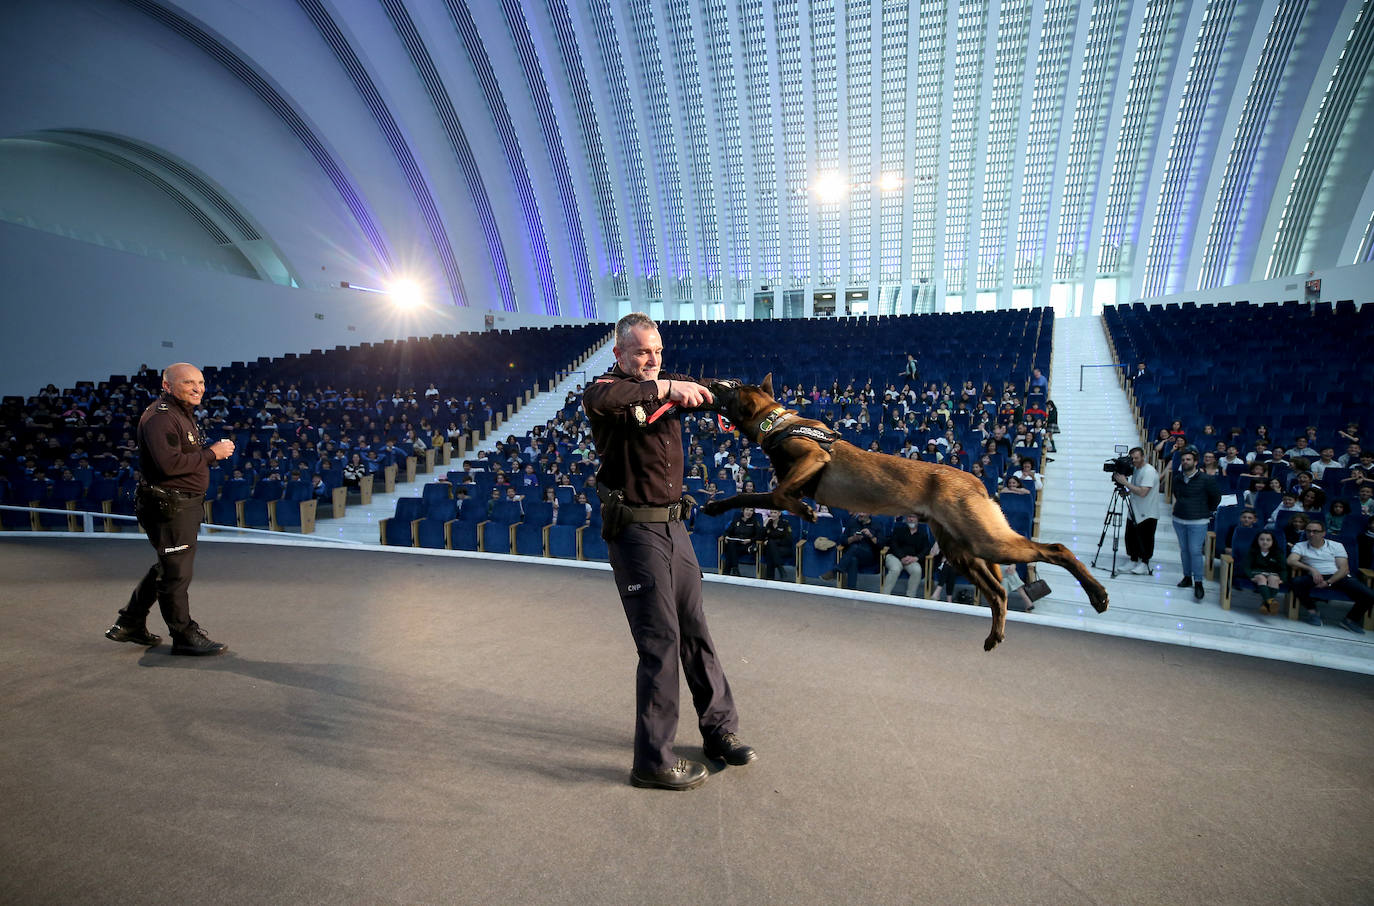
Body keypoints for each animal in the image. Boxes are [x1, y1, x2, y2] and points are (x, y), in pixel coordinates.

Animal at [703, 376, 1110, 651]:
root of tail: (976, 482)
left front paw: (803, 509)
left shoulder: (814, 458)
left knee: (1056, 549)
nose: (708, 380)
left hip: (985, 540)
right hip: (963, 551)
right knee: (998, 592)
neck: (777, 423)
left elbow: (773, 493)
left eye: (731, 385)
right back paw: (995, 633)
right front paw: (718, 506)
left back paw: (1098, 594)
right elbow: (749, 495)